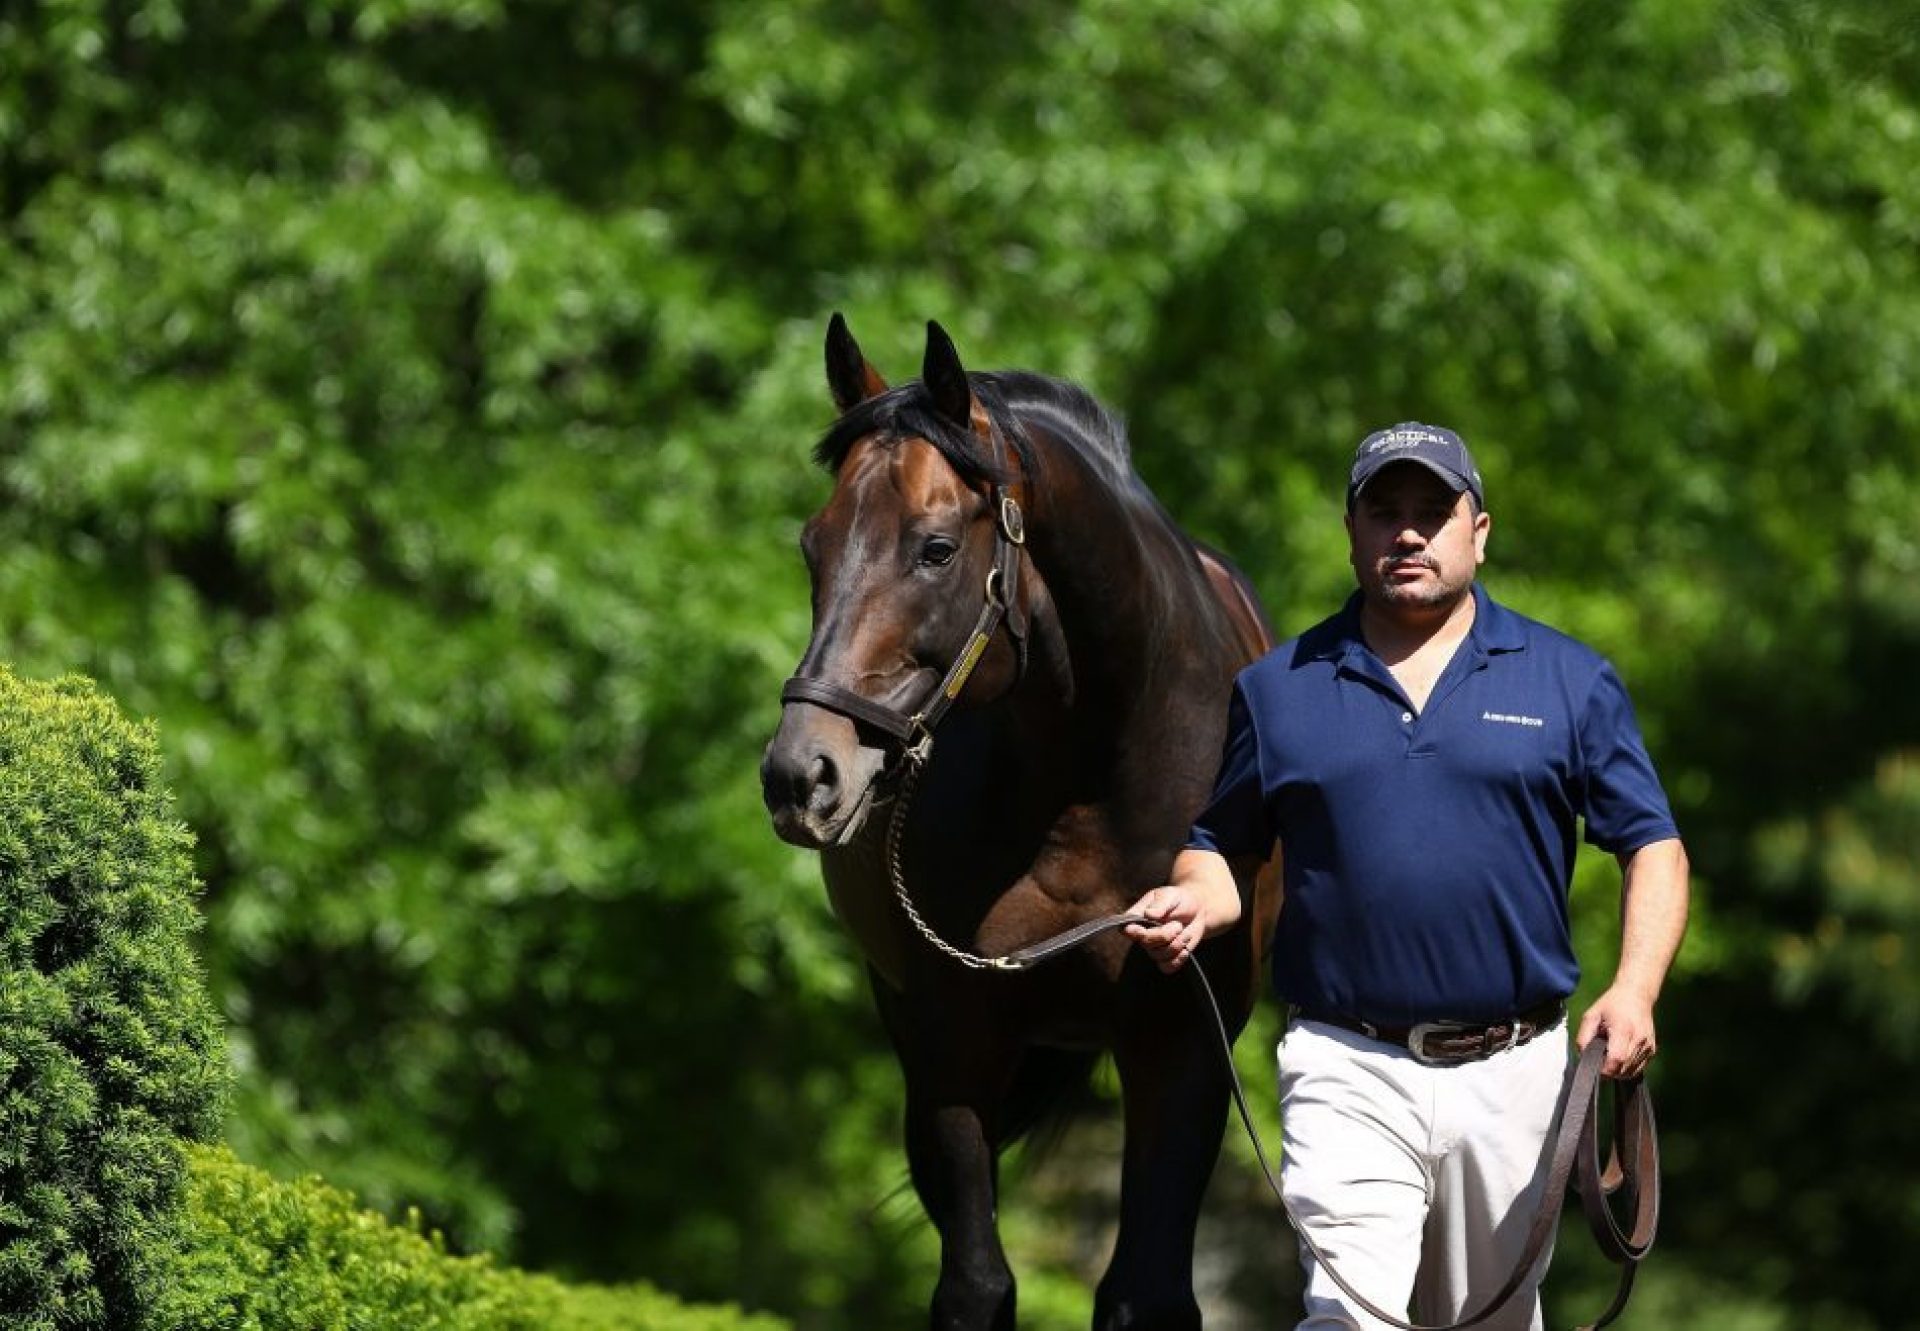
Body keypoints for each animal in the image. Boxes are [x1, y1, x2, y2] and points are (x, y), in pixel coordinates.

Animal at [760, 316, 1274, 1321]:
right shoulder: (951, 1043)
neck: (1091, 780)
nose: (801, 773)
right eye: (812, 545)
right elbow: (976, 1280)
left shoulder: (1184, 1045)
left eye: (935, 549)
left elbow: (1146, 1289)